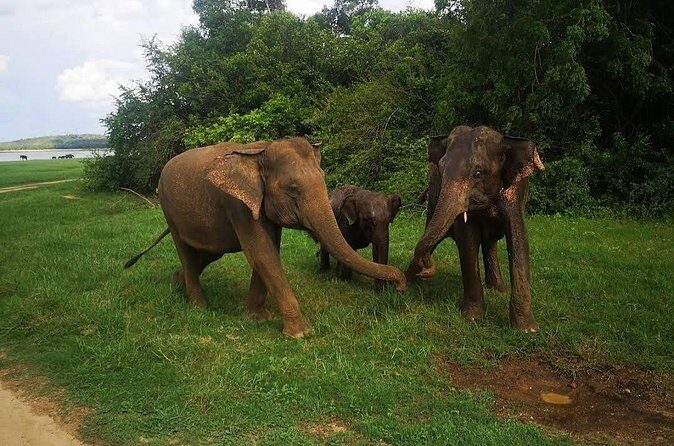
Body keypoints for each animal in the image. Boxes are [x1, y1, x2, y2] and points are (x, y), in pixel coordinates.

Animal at [124, 137, 407, 338]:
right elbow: (261, 253)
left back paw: (176, 281)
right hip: (168, 208)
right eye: (293, 189)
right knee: (184, 248)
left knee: (210, 252)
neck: (261, 150)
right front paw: (301, 333)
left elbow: (268, 250)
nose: (401, 287)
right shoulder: (237, 204)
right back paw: (199, 306)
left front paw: (258, 319)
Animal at [407, 125, 544, 332]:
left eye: (478, 173)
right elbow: (467, 240)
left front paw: (527, 329)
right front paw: (472, 317)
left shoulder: (515, 194)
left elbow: (518, 239)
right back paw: (405, 283)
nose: (427, 269)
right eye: (442, 169)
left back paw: (498, 290)